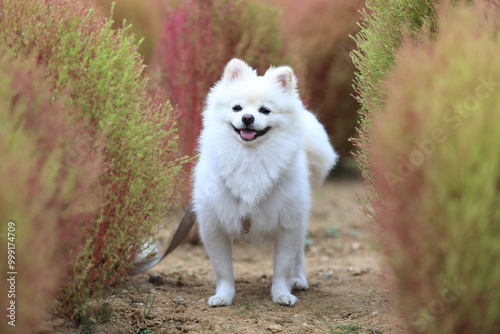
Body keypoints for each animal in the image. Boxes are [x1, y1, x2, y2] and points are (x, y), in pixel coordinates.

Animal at [193, 58, 338, 306]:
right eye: (237, 108)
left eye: (265, 110)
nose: (247, 118)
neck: (250, 157)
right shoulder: (213, 226)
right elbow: (223, 269)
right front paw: (223, 296)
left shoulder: (287, 225)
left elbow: (282, 267)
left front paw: (281, 294)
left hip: (300, 218)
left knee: (299, 253)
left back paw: (298, 279)